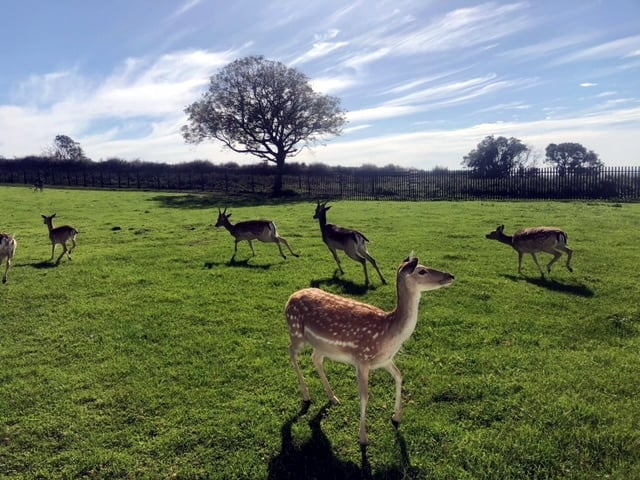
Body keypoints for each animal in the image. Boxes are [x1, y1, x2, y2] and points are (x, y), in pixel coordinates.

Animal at [286, 254, 455, 445]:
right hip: (296, 332)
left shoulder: (385, 360)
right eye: (422, 271)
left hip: (322, 346)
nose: (450, 276)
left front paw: (397, 417)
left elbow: (399, 376)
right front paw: (363, 437)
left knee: (315, 358)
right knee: (291, 351)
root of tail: (290, 298)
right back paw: (306, 394)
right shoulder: (362, 360)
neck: (388, 335)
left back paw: (333, 397)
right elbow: (365, 395)